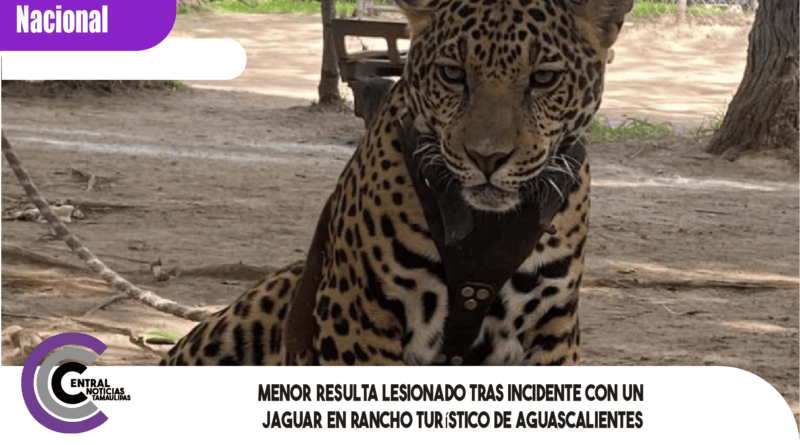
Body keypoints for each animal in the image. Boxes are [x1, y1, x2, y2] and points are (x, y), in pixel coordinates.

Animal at [160, 0, 633, 366]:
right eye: (453, 74)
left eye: (543, 78)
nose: (487, 158)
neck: (485, 228)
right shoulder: (359, 319)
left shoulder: (552, 327)